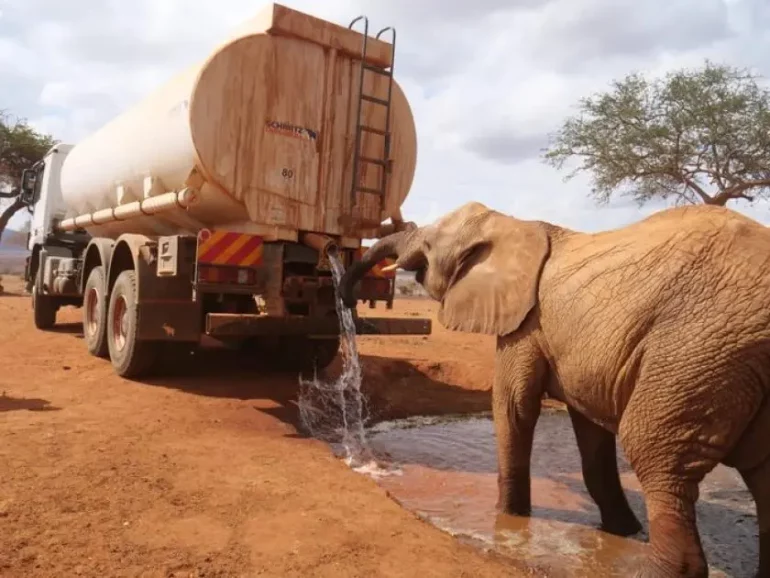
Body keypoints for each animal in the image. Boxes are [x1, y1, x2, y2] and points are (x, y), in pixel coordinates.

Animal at [337, 201, 770, 578]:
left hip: (699, 349)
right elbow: (589, 430)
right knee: (761, 475)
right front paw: (621, 532)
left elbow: (514, 406)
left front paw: (509, 521)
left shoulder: (527, 322)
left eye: (427, 248)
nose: (346, 299)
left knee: (654, 450)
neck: (511, 224)